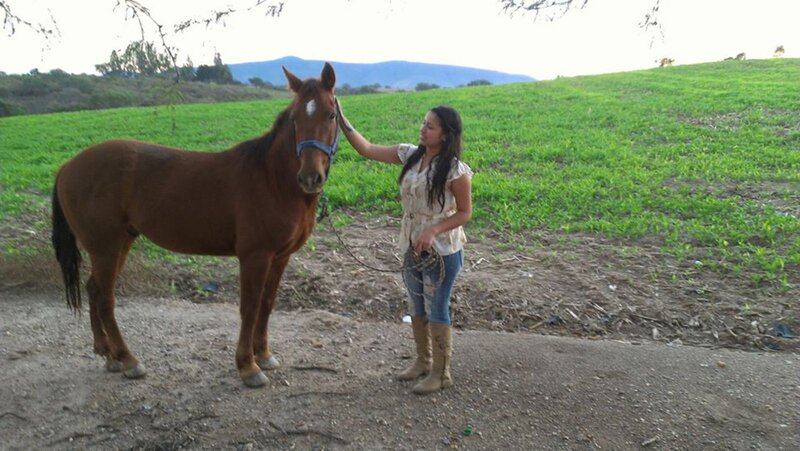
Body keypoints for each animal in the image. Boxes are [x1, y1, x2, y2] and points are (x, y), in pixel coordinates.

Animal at [51, 63, 340, 387]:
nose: (310, 177)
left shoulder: (280, 257)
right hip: (106, 248)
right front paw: (248, 366)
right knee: (104, 298)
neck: (272, 178)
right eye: (295, 118)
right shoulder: (255, 256)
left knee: (92, 289)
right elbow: (250, 307)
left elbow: (266, 304)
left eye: (331, 114)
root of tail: (68, 166)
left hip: (119, 243)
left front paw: (264, 355)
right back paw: (128, 360)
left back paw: (108, 354)